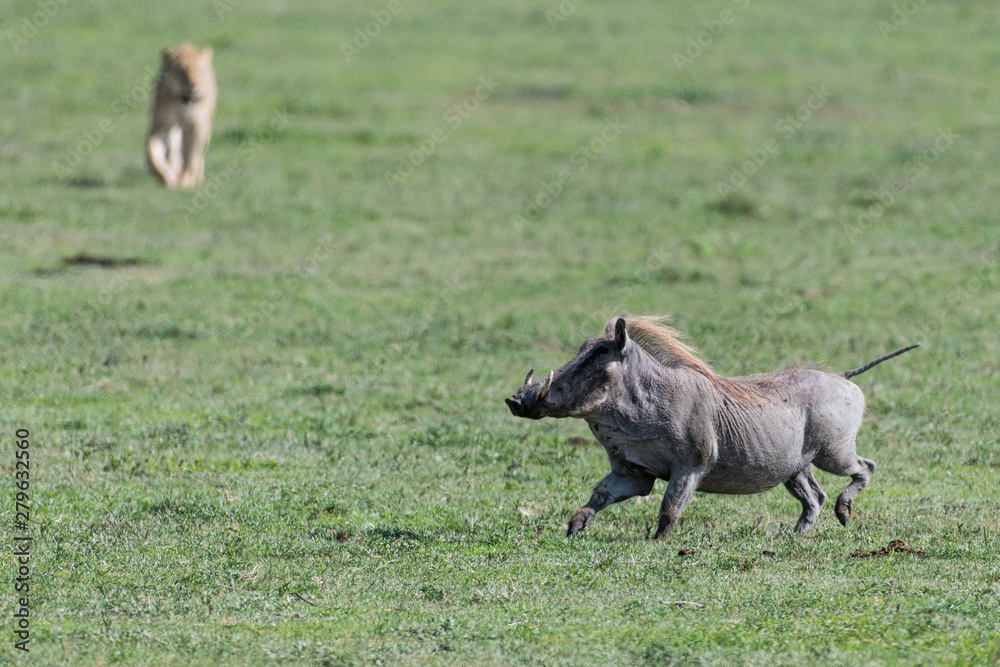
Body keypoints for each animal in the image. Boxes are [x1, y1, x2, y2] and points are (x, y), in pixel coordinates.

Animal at [146, 45, 217, 190]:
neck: (183, 103)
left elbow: (191, 155)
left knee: (196, 154)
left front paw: (186, 181)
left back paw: (196, 177)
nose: (194, 88)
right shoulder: (162, 124)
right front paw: (164, 176)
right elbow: (152, 151)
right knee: (175, 150)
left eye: (200, 72)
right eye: (182, 72)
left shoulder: (197, 125)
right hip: (176, 128)